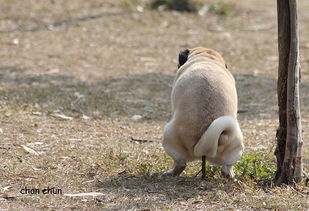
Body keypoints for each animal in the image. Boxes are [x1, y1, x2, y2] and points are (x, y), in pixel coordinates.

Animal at [162, 47, 244, 177]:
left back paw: (170, 173)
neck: (207, 59)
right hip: (237, 144)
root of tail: (205, 147)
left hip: (168, 134)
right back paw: (231, 176)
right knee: (227, 168)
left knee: (180, 164)